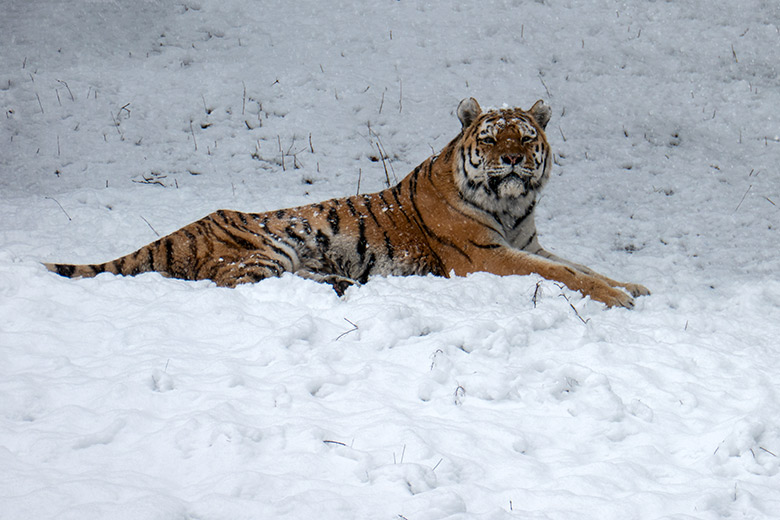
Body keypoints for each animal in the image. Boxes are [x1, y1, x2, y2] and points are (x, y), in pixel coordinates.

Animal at [45, 97, 648, 306]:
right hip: (263, 248)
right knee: (243, 283)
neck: (511, 205)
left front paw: (633, 285)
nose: (516, 160)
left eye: (524, 137)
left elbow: (580, 264)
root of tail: (186, 229)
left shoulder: (529, 243)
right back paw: (341, 285)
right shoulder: (486, 257)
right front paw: (619, 298)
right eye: (493, 138)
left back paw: (345, 281)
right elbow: (567, 275)